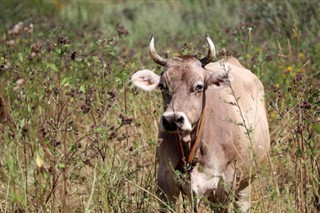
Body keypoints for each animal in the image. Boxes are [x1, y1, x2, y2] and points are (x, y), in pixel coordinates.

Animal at [131, 35, 270, 212]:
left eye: (199, 86)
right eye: (163, 86)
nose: (172, 120)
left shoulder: (224, 186)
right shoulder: (165, 182)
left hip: (245, 183)